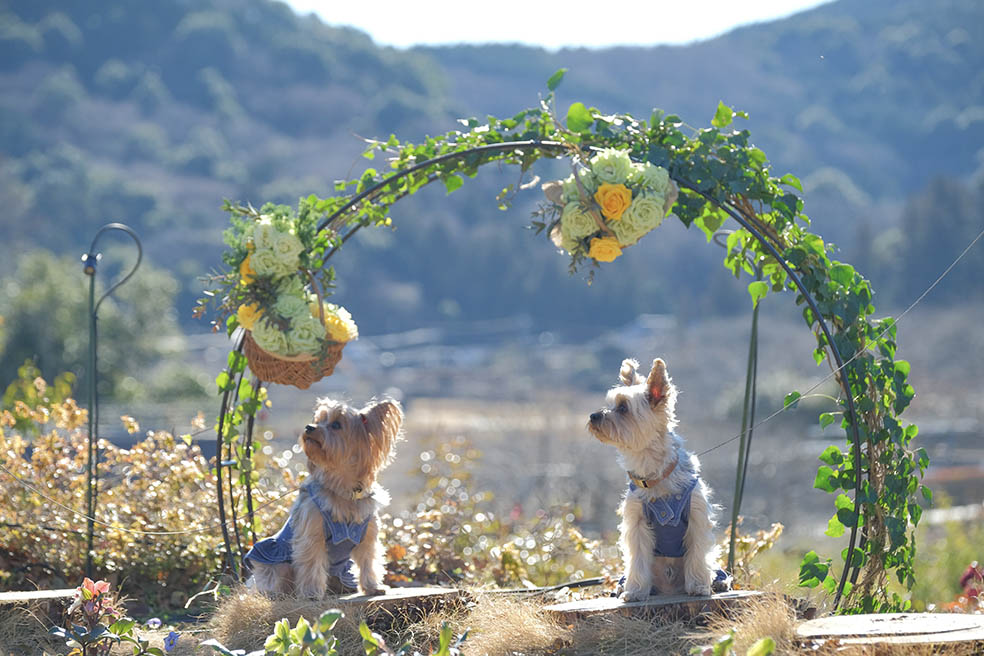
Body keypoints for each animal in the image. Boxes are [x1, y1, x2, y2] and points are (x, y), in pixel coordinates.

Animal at [244, 398, 402, 596]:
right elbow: (312, 562)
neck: (342, 488)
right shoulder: (311, 533)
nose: (309, 427)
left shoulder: (368, 534)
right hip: (275, 564)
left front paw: (373, 587)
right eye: (318, 420)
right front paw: (311, 593)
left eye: (336, 425)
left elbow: (368, 560)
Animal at [588, 358, 720, 600]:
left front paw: (699, 586)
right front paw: (635, 591)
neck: (653, 473)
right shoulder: (636, 521)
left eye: (623, 407)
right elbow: (638, 558)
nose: (593, 416)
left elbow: (697, 553)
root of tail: (669, 589)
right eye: (609, 403)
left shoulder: (696, 517)